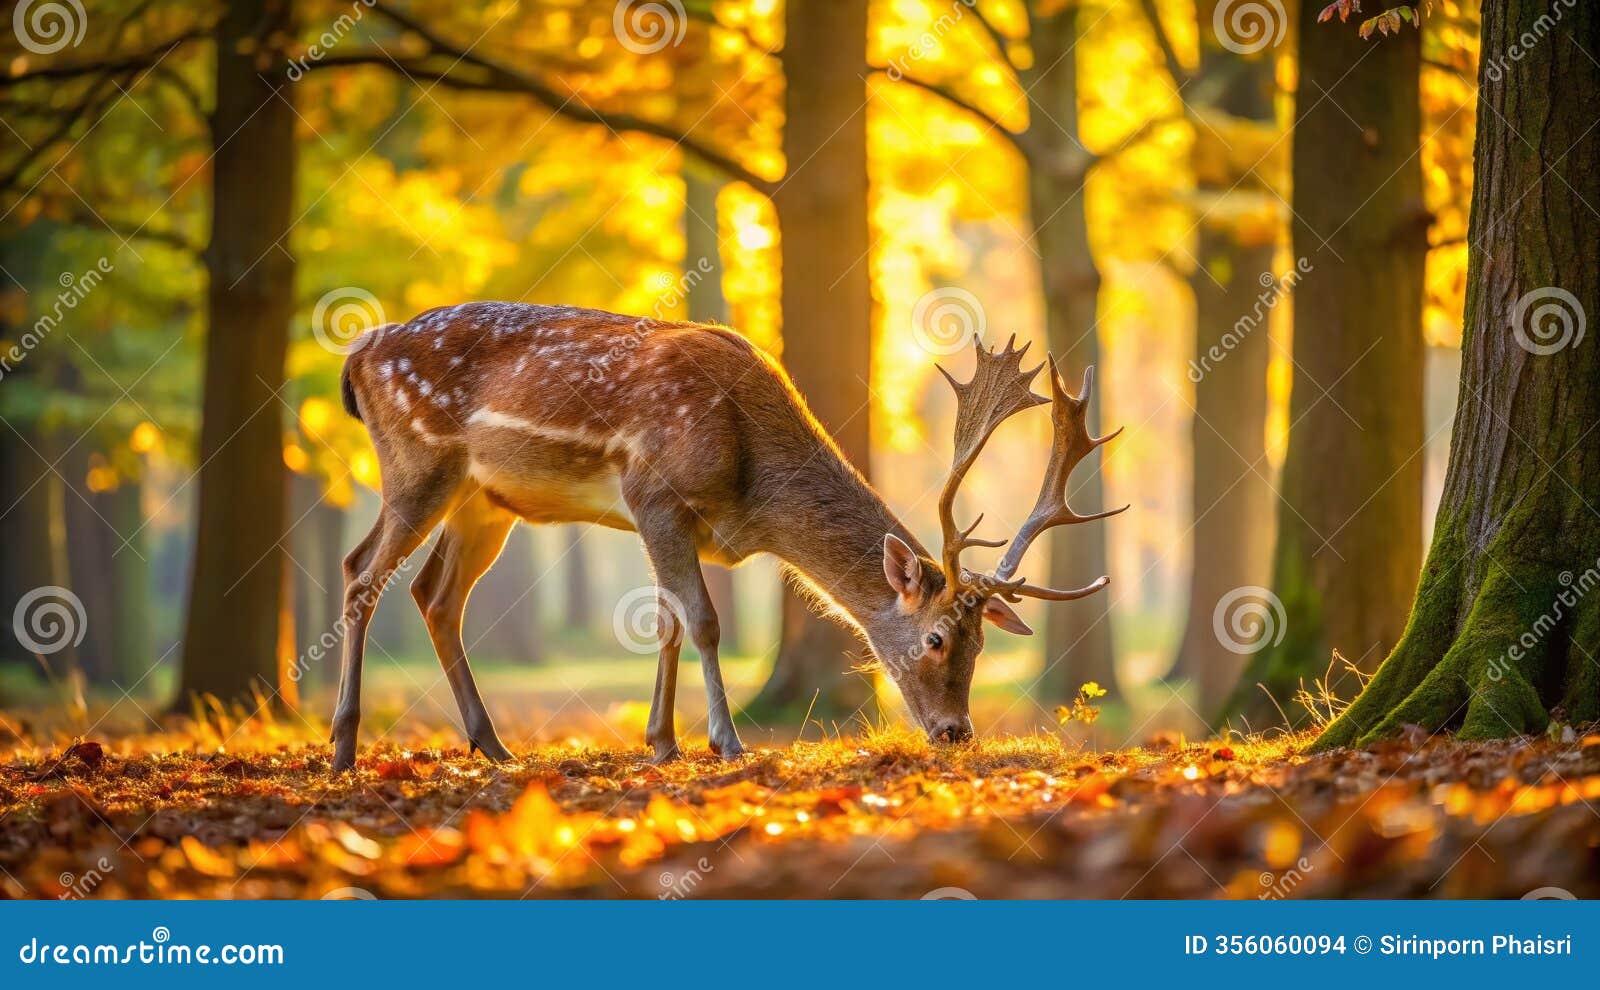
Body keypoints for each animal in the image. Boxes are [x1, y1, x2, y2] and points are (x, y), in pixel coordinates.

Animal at [331, 302, 1120, 774]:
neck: (750, 487)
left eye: (983, 641)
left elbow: (668, 625)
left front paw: (662, 743)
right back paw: (344, 744)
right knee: (361, 570)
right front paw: (724, 741)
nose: (957, 731)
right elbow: (703, 622)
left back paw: (492, 745)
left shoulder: (670, 522)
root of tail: (357, 355)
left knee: (435, 595)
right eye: (934, 639)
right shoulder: (652, 493)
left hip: (485, 501)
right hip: (416, 462)